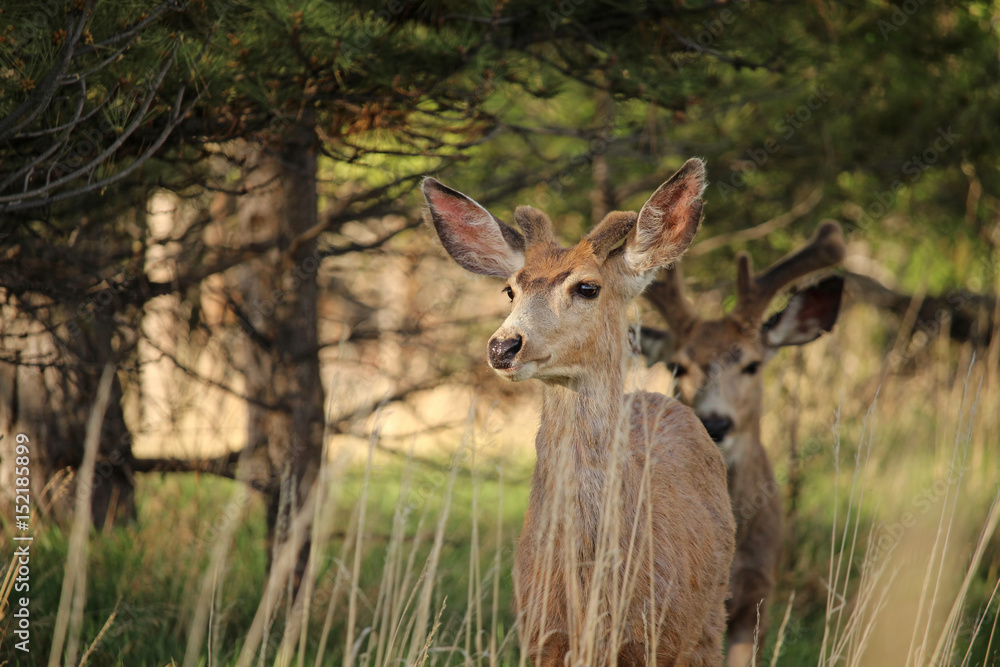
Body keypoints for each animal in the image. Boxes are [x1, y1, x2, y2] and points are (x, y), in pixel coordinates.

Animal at [422, 159, 735, 666]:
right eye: (509, 290)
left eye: (587, 287)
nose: (503, 346)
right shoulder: (539, 637)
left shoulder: (657, 641)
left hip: (708, 622)